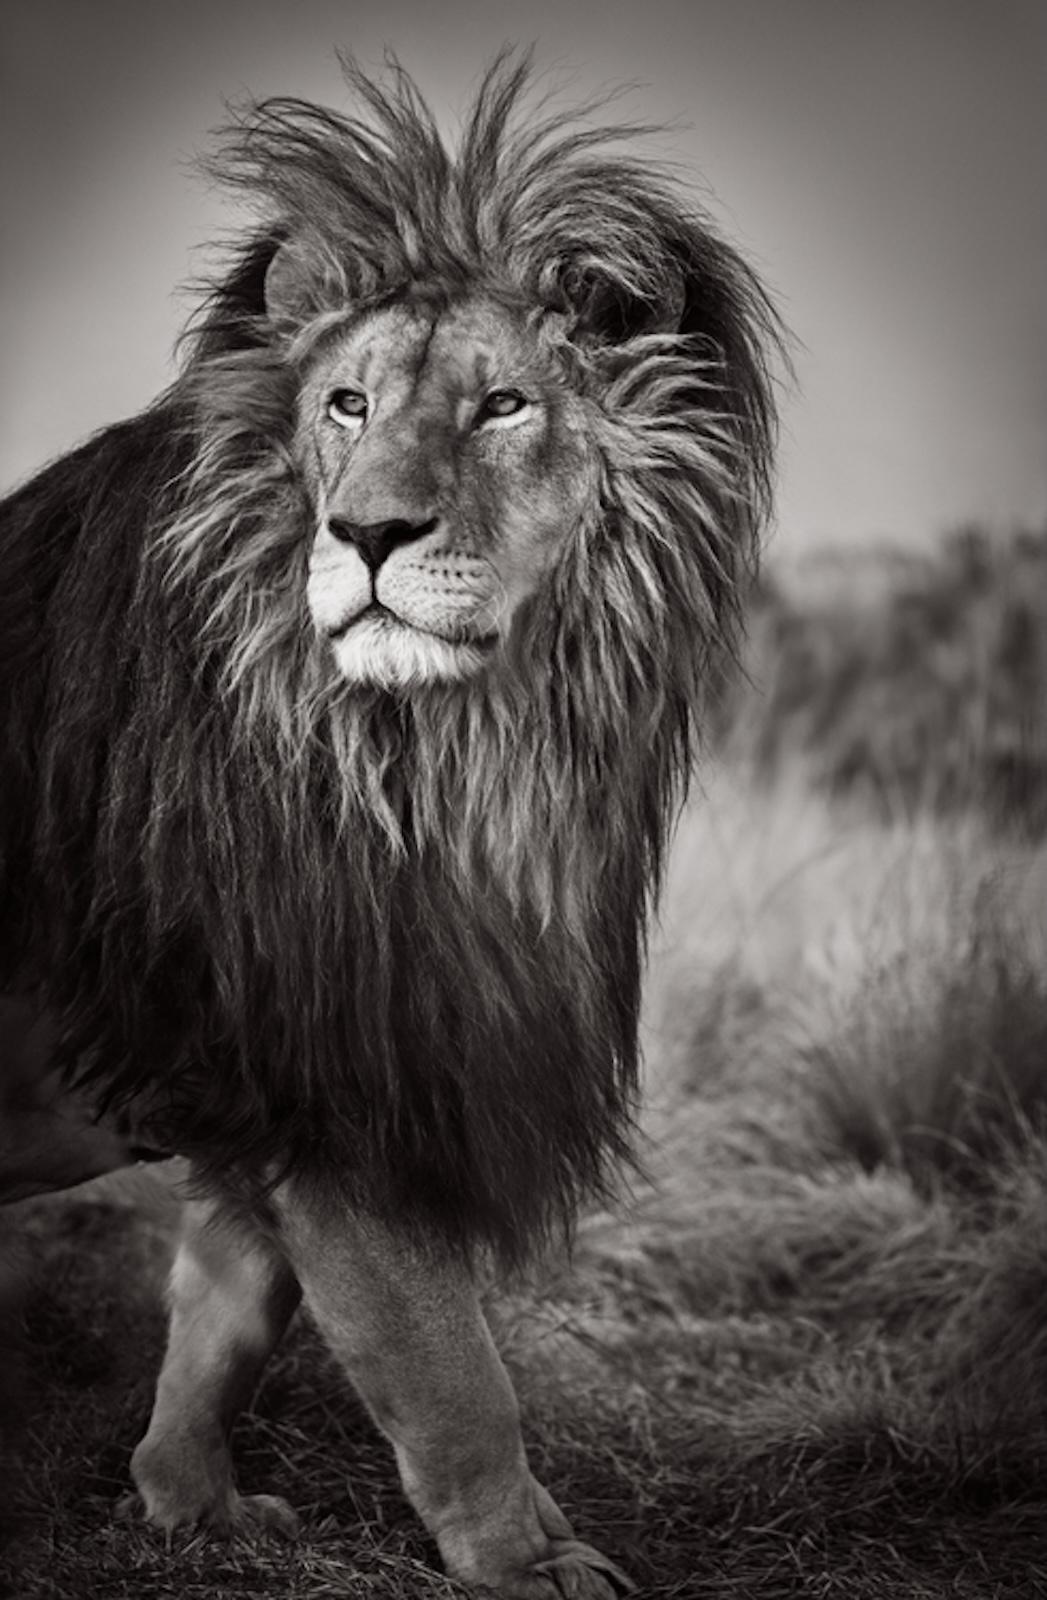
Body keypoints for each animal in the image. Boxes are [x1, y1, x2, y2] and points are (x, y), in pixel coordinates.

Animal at [0, 54, 778, 1597]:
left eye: (503, 408)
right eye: (348, 406)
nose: (366, 534)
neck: (438, 749)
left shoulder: (302, 1056)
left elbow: (226, 1313)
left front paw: (186, 1501)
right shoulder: (346, 1079)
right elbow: (447, 1366)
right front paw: (530, 1560)